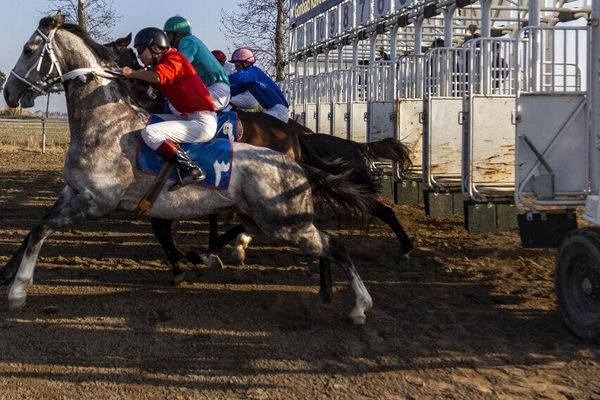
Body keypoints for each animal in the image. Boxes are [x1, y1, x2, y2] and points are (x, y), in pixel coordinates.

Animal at [1, 13, 376, 324]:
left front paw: (18, 291)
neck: (104, 122)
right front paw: (8, 274)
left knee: (336, 247)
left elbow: (43, 230)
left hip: (283, 223)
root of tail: (295, 163)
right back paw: (324, 293)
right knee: (323, 244)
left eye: (29, 48)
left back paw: (360, 306)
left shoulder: (96, 201)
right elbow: (35, 229)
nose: (9, 93)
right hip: (272, 220)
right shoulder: (73, 192)